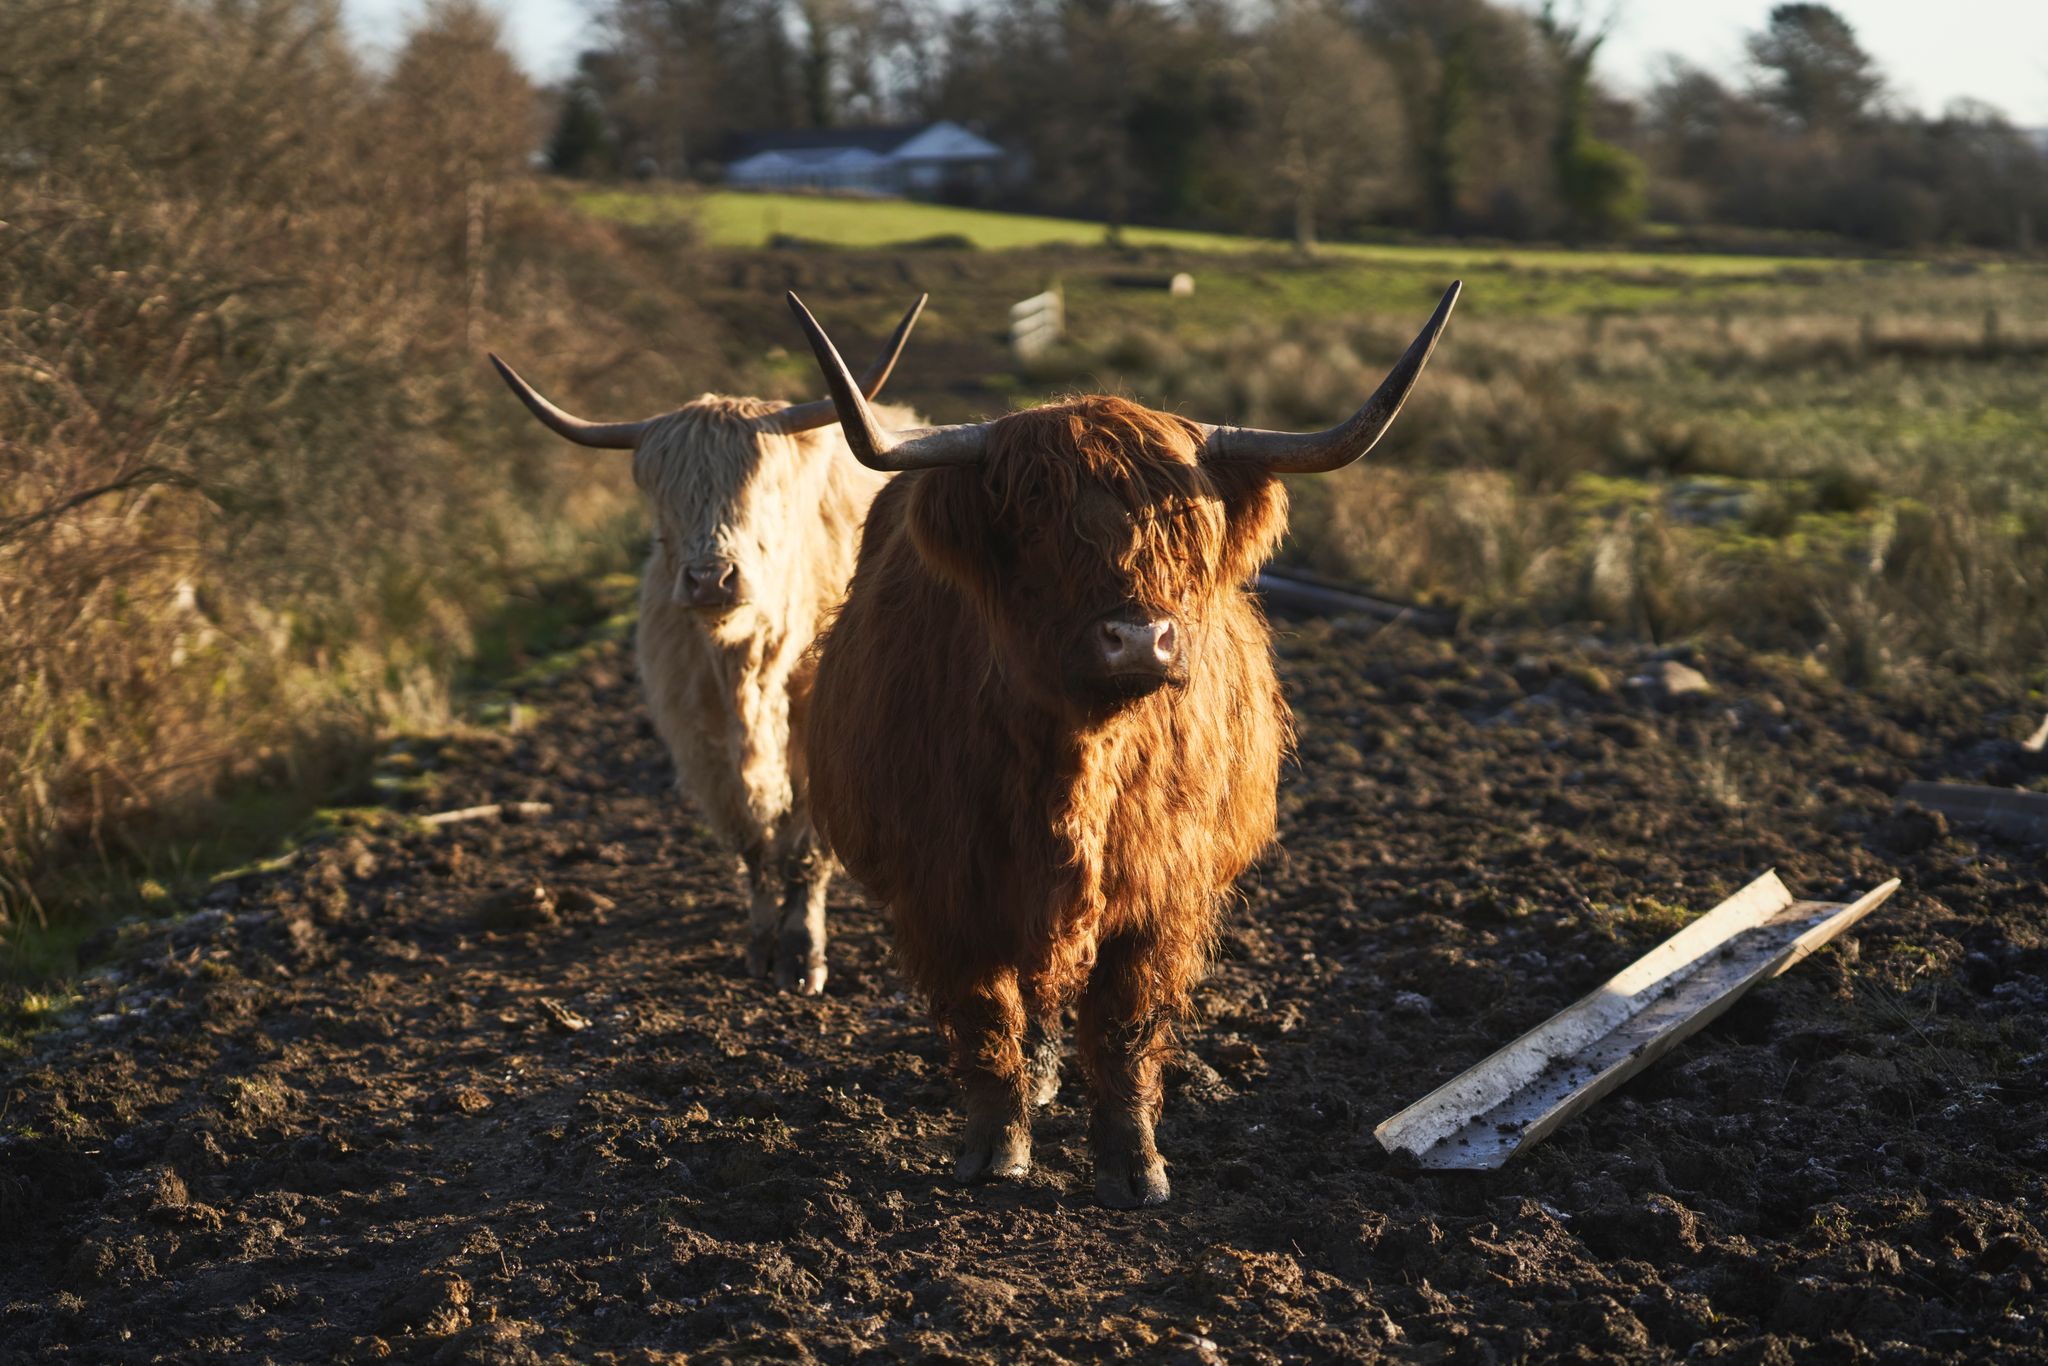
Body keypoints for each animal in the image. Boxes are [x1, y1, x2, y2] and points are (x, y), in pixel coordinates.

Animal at [488, 297, 927, 995]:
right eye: (663, 503)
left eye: (766, 494)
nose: (710, 578)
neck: (746, 665)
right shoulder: (700, 734)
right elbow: (751, 840)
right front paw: (760, 943)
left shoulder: (820, 728)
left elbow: (804, 846)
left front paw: (803, 955)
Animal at [785, 283, 1459, 1204]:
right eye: (1032, 517)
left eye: (1185, 521)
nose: (1140, 639)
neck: (1078, 765)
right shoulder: (942, 893)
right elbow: (984, 1016)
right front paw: (996, 1149)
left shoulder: (1163, 894)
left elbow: (1126, 1024)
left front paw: (1134, 1165)